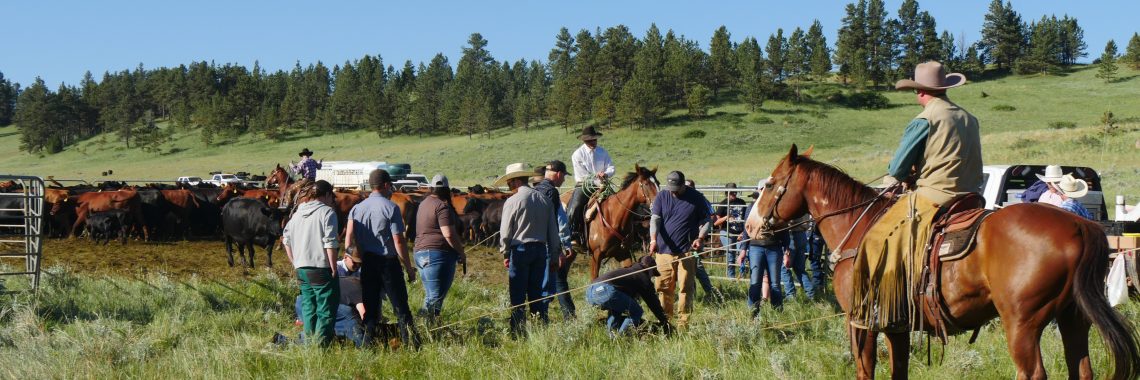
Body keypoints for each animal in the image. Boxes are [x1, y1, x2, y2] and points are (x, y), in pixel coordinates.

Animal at [747, 144, 1140, 376]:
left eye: (771, 184)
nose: (750, 226)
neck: (859, 225)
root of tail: (1079, 225)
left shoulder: (859, 321)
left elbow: (865, 369)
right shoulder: (896, 325)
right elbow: (899, 368)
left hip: (1022, 325)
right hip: (1074, 320)